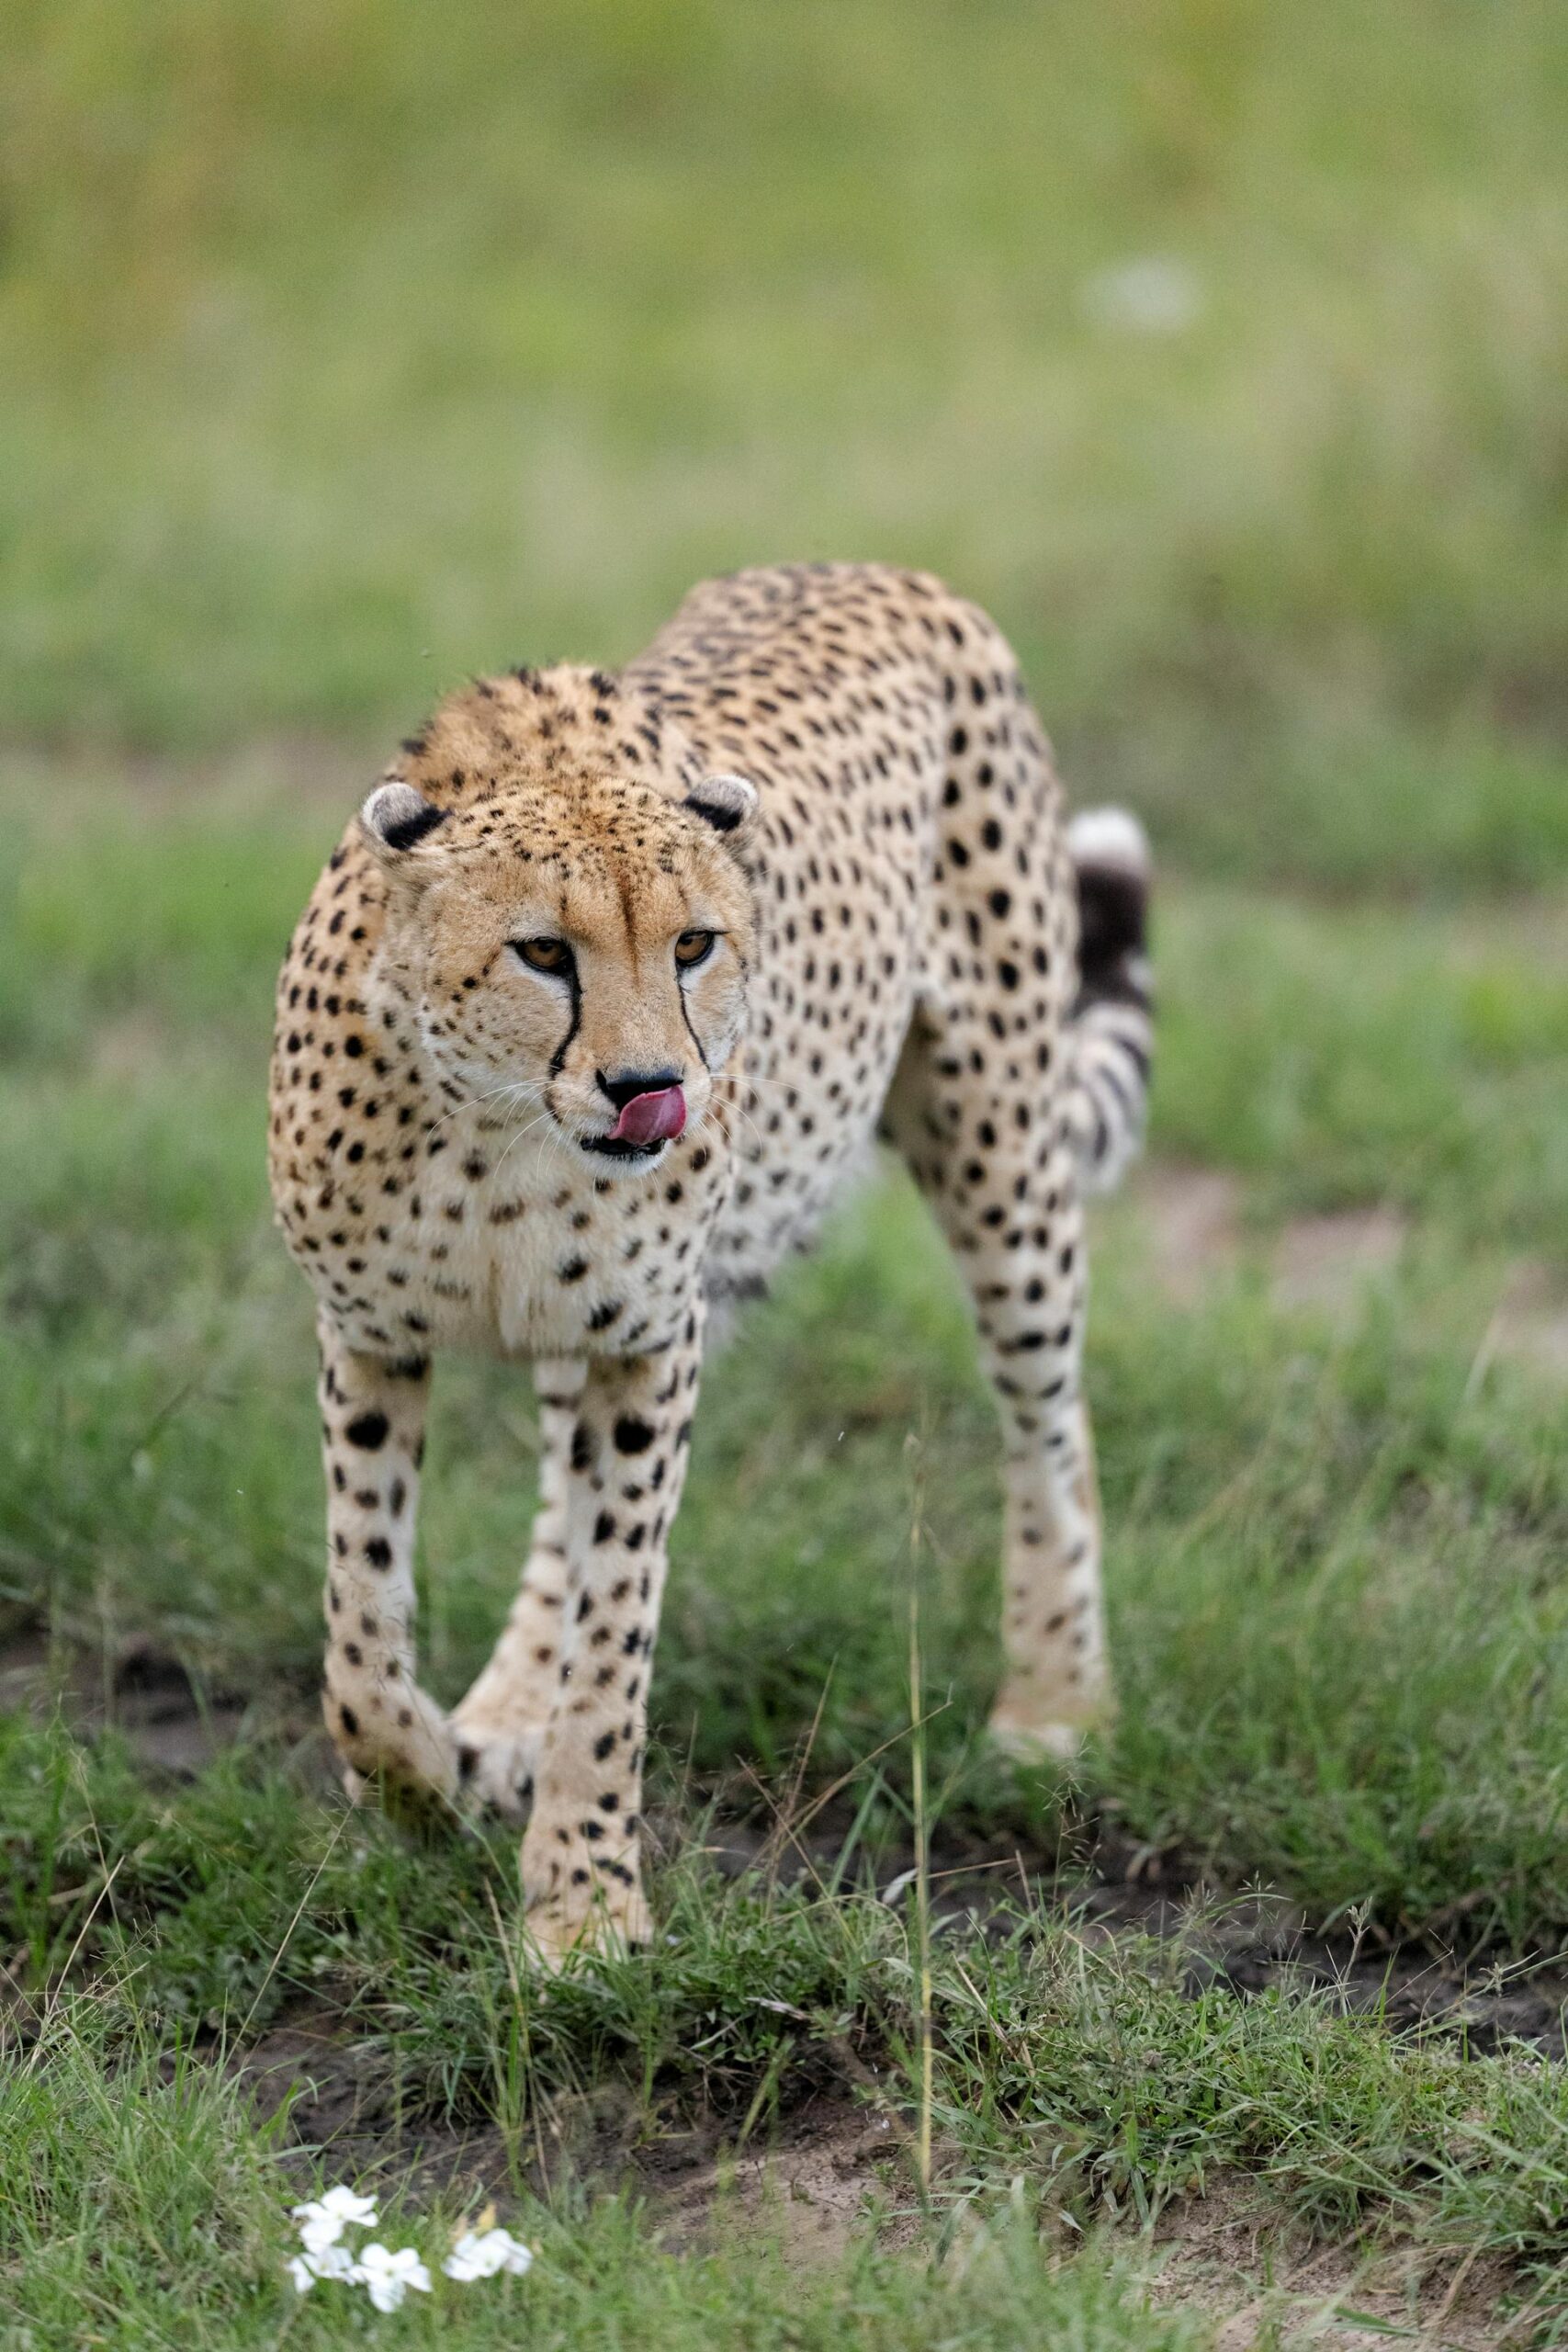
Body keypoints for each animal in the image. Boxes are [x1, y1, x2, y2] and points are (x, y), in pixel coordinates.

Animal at [268, 562, 1153, 1966]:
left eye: (693, 945)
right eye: (543, 951)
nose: (650, 1088)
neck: (495, 1131)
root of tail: (877, 566)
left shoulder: (649, 1342)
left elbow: (614, 1634)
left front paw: (581, 1905)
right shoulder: (370, 1330)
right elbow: (360, 1630)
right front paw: (422, 1780)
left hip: (1001, 1144)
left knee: (1045, 1418)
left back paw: (1055, 1701)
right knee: (549, 1510)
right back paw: (498, 1715)